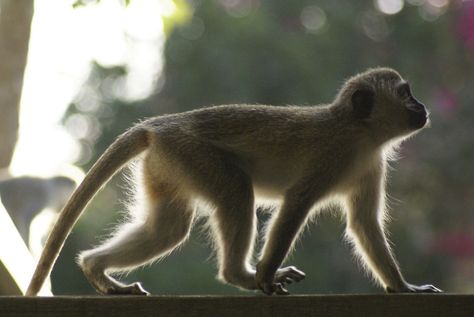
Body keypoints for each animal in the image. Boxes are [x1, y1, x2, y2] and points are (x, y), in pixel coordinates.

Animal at [25, 67, 440, 296]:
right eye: (405, 94)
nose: (422, 107)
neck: (359, 133)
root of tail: (157, 126)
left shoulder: (371, 164)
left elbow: (364, 223)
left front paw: (402, 287)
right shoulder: (332, 155)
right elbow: (295, 206)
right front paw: (265, 277)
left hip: (167, 165)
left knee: (168, 229)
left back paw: (96, 269)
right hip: (192, 154)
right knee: (237, 193)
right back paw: (240, 276)